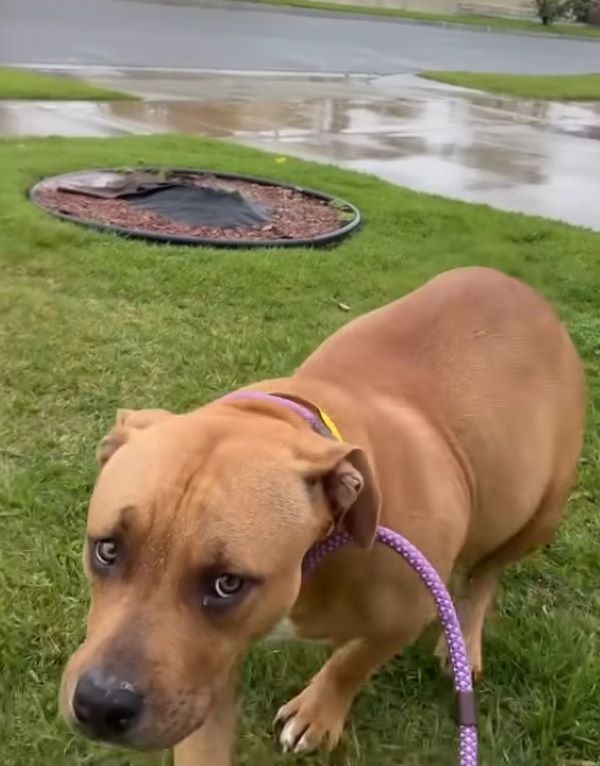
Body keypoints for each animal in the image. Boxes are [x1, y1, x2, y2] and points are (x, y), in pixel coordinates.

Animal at [62, 268, 584, 764]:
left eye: (227, 583)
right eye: (107, 550)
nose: (102, 704)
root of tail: (520, 290)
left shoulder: (407, 614)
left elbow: (356, 660)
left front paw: (318, 710)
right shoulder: (207, 673)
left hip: (543, 511)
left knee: (486, 573)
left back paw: (466, 639)